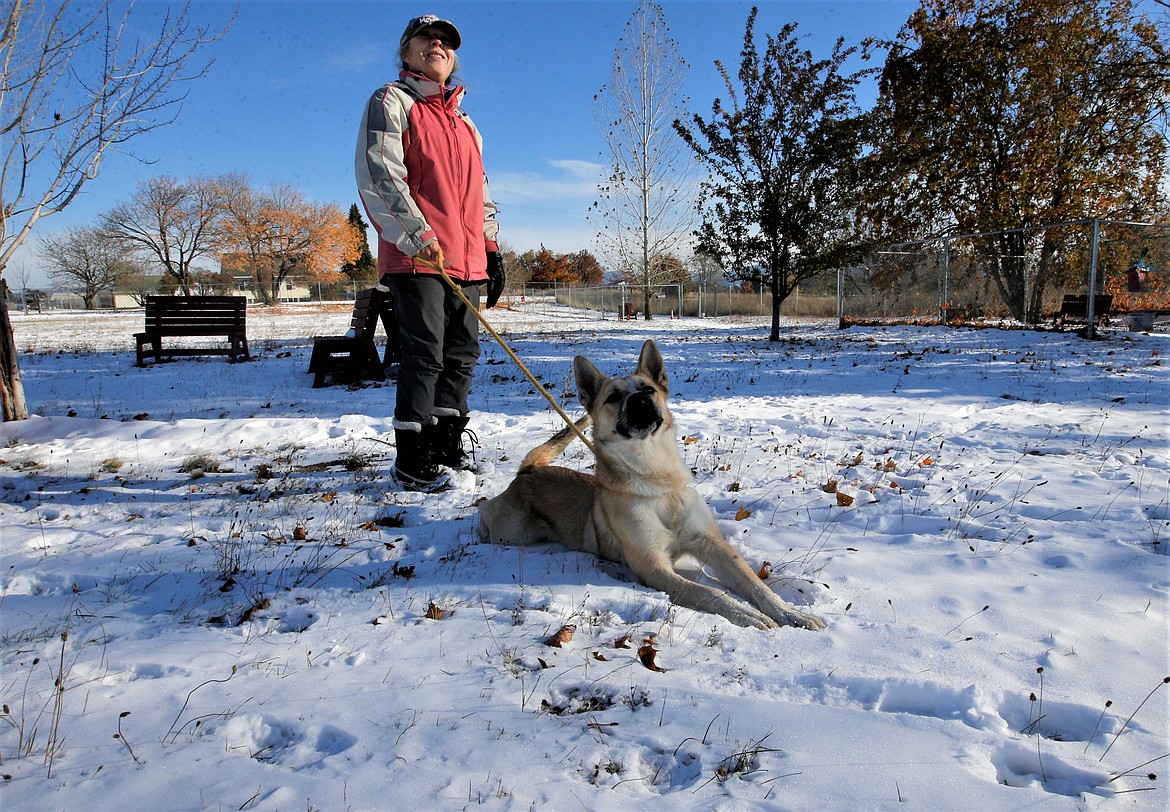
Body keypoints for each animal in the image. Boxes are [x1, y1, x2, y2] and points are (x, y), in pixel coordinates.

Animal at [475, 339, 823, 631]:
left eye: (649, 389)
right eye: (614, 397)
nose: (641, 399)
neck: (655, 481)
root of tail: (529, 471)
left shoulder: (712, 545)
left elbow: (755, 584)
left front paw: (792, 613)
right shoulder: (653, 565)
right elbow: (709, 593)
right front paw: (747, 615)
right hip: (512, 534)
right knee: (485, 511)